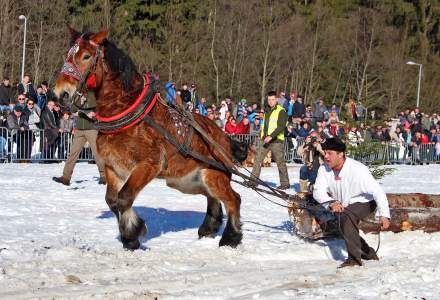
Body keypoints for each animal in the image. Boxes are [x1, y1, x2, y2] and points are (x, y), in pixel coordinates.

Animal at [53, 28, 248, 248]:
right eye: (68, 55)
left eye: (86, 56)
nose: (61, 93)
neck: (126, 112)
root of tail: (223, 135)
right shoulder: (113, 167)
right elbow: (112, 200)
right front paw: (130, 236)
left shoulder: (148, 165)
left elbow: (124, 197)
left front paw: (133, 234)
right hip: (187, 181)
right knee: (213, 198)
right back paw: (208, 228)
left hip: (214, 176)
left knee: (234, 199)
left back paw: (230, 238)